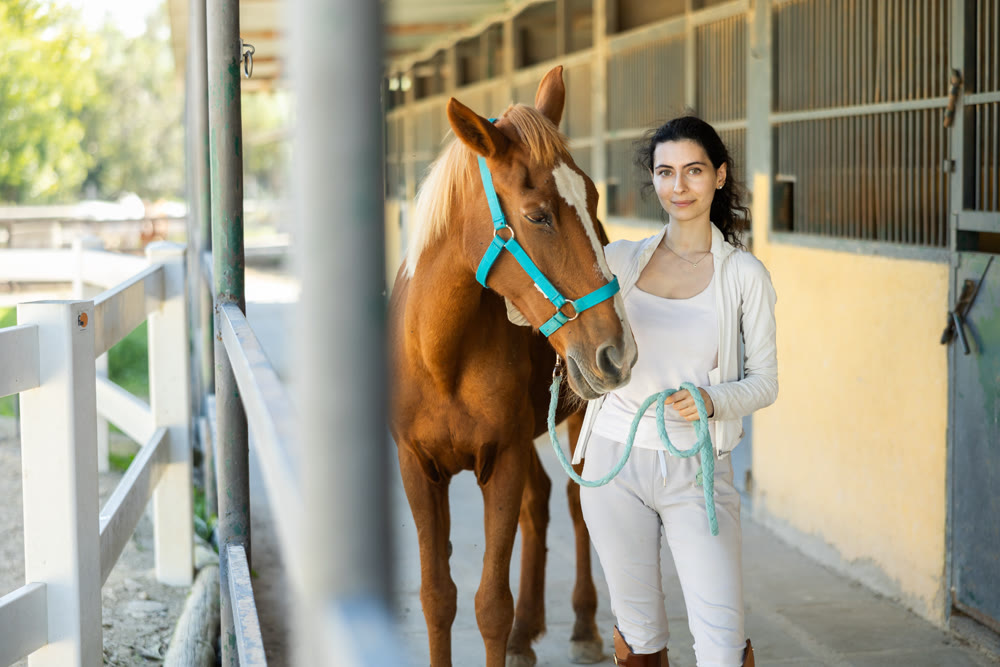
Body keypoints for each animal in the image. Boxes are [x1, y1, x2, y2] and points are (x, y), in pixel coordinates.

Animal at [388, 66, 637, 667]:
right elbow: (437, 597)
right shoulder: (416, 468)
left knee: (570, 504)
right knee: (539, 505)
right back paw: (530, 631)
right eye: (537, 216)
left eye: (593, 197)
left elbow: (490, 605)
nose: (618, 352)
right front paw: (515, 626)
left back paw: (582, 625)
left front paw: (519, 622)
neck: (440, 355)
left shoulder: (501, 461)